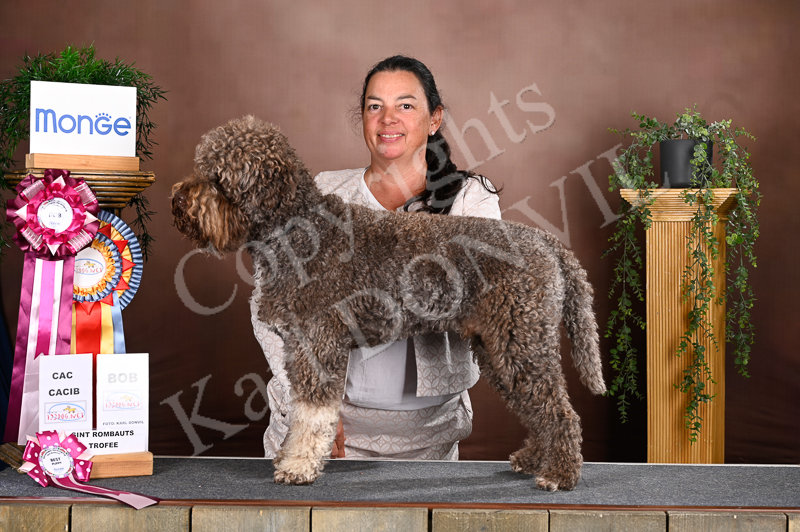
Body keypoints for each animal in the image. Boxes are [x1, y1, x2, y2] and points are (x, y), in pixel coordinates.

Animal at [172, 116, 606, 491]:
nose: (177, 199)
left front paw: (298, 465)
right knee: (538, 408)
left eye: (218, 177)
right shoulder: (297, 347)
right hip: (500, 347)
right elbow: (300, 409)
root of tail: (545, 242)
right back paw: (535, 458)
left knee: (560, 411)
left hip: (521, 343)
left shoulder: (318, 346)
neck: (299, 231)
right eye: (202, 166)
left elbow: (312, 414)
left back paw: (560, 474)